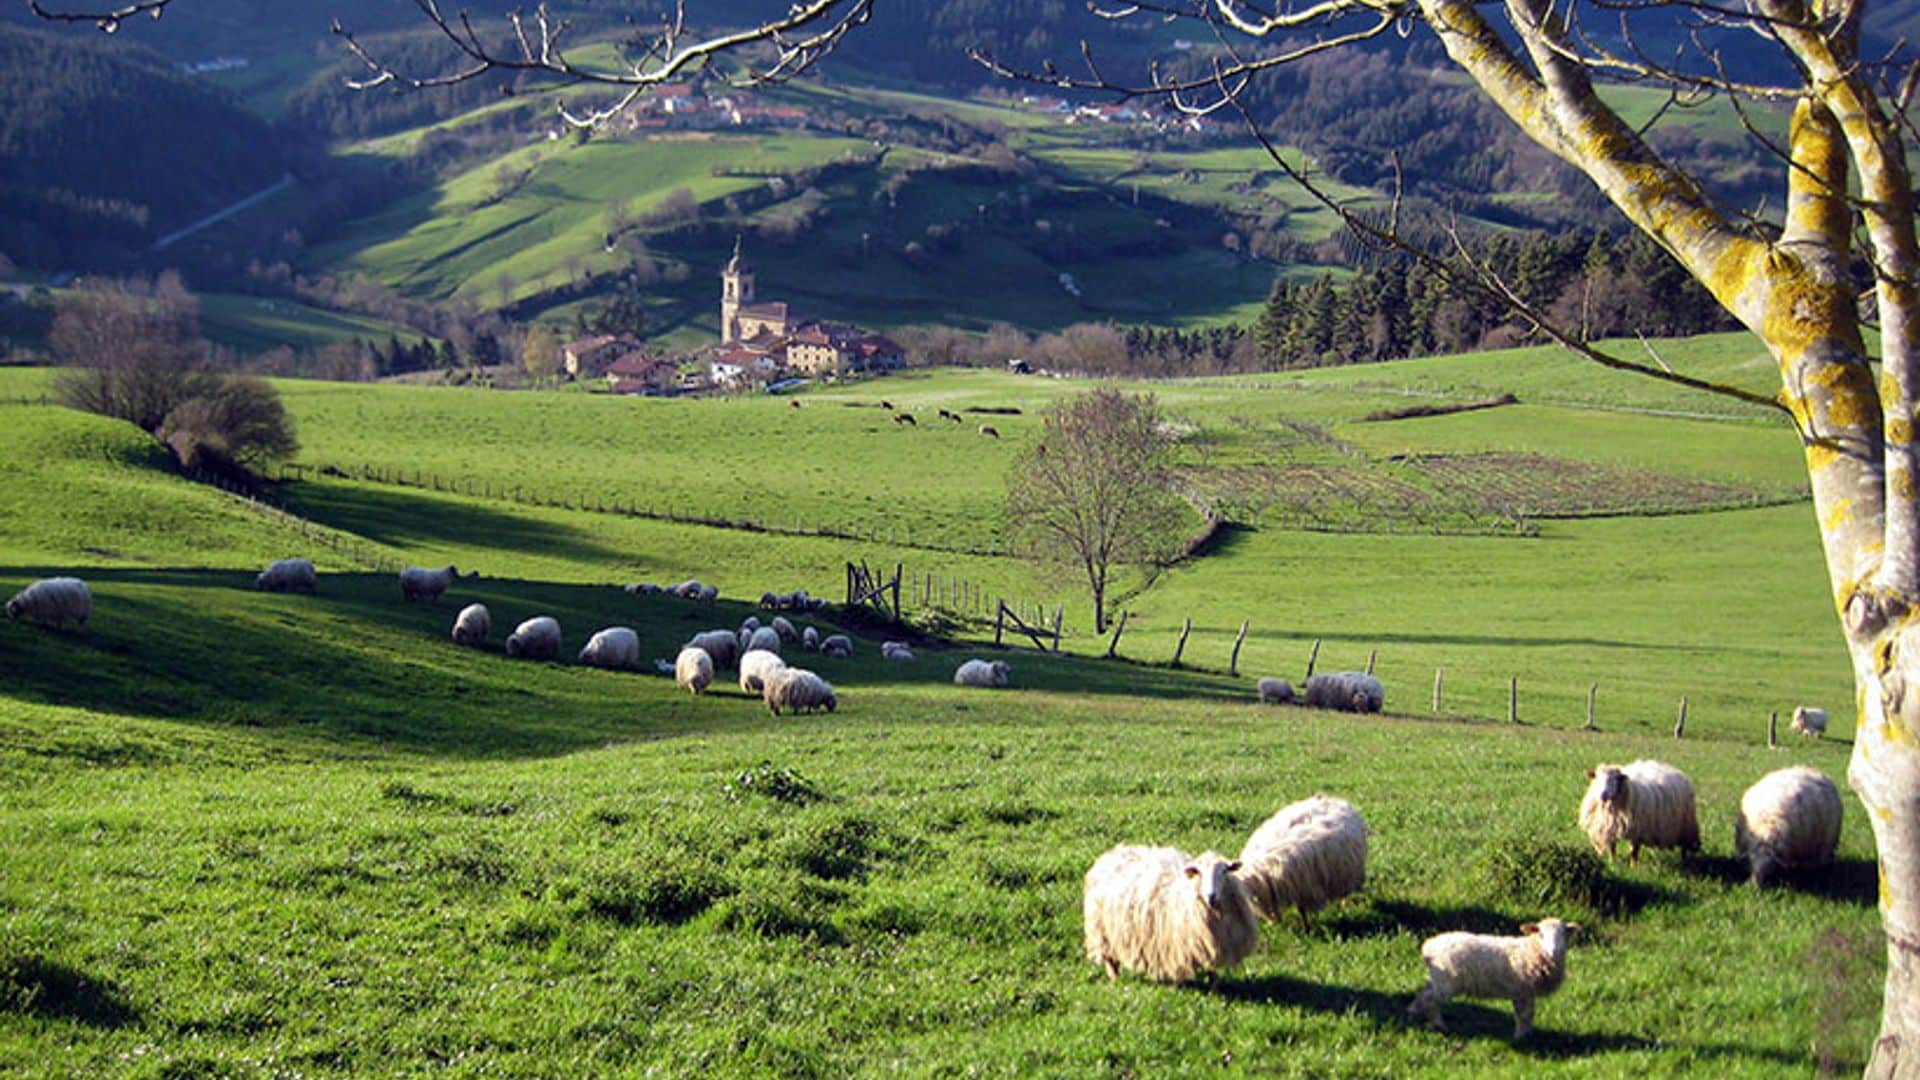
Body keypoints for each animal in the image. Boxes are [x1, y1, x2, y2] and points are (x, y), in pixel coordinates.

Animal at [1082, 841, 1259, 983]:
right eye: (1199, 873)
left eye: (1224, 871)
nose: (1211, 895)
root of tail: (1113, 853)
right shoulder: (1175, 945)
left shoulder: (1208, 943)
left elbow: (1210, 967)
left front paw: (1214, 984)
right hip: (1102, 931)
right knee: (1109, 959)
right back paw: (1115, 978)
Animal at [1236, 791, 1374, 926]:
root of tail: (1333, 798)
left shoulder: (1302, 889)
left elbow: (1301, 910)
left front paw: (1306, 928)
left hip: (1347, 872)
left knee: (1345, 891)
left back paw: (1344, 903)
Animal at [1405, 910, 1582, 1037]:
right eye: (1541, 934)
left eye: (1564, 934)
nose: (1554, 951)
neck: (1532, 950)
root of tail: (1428, 947)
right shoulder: (1521, 990)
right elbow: (1523, 1015)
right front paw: (1521, 1037)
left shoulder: (1527, 991)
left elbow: (1529, 1014)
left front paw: (1528, 1034)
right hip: (1446, 982)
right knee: (1431, 1001)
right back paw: (1440, 1025)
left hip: (1438, 979)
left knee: (1424, 994)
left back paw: (1413, 1013)